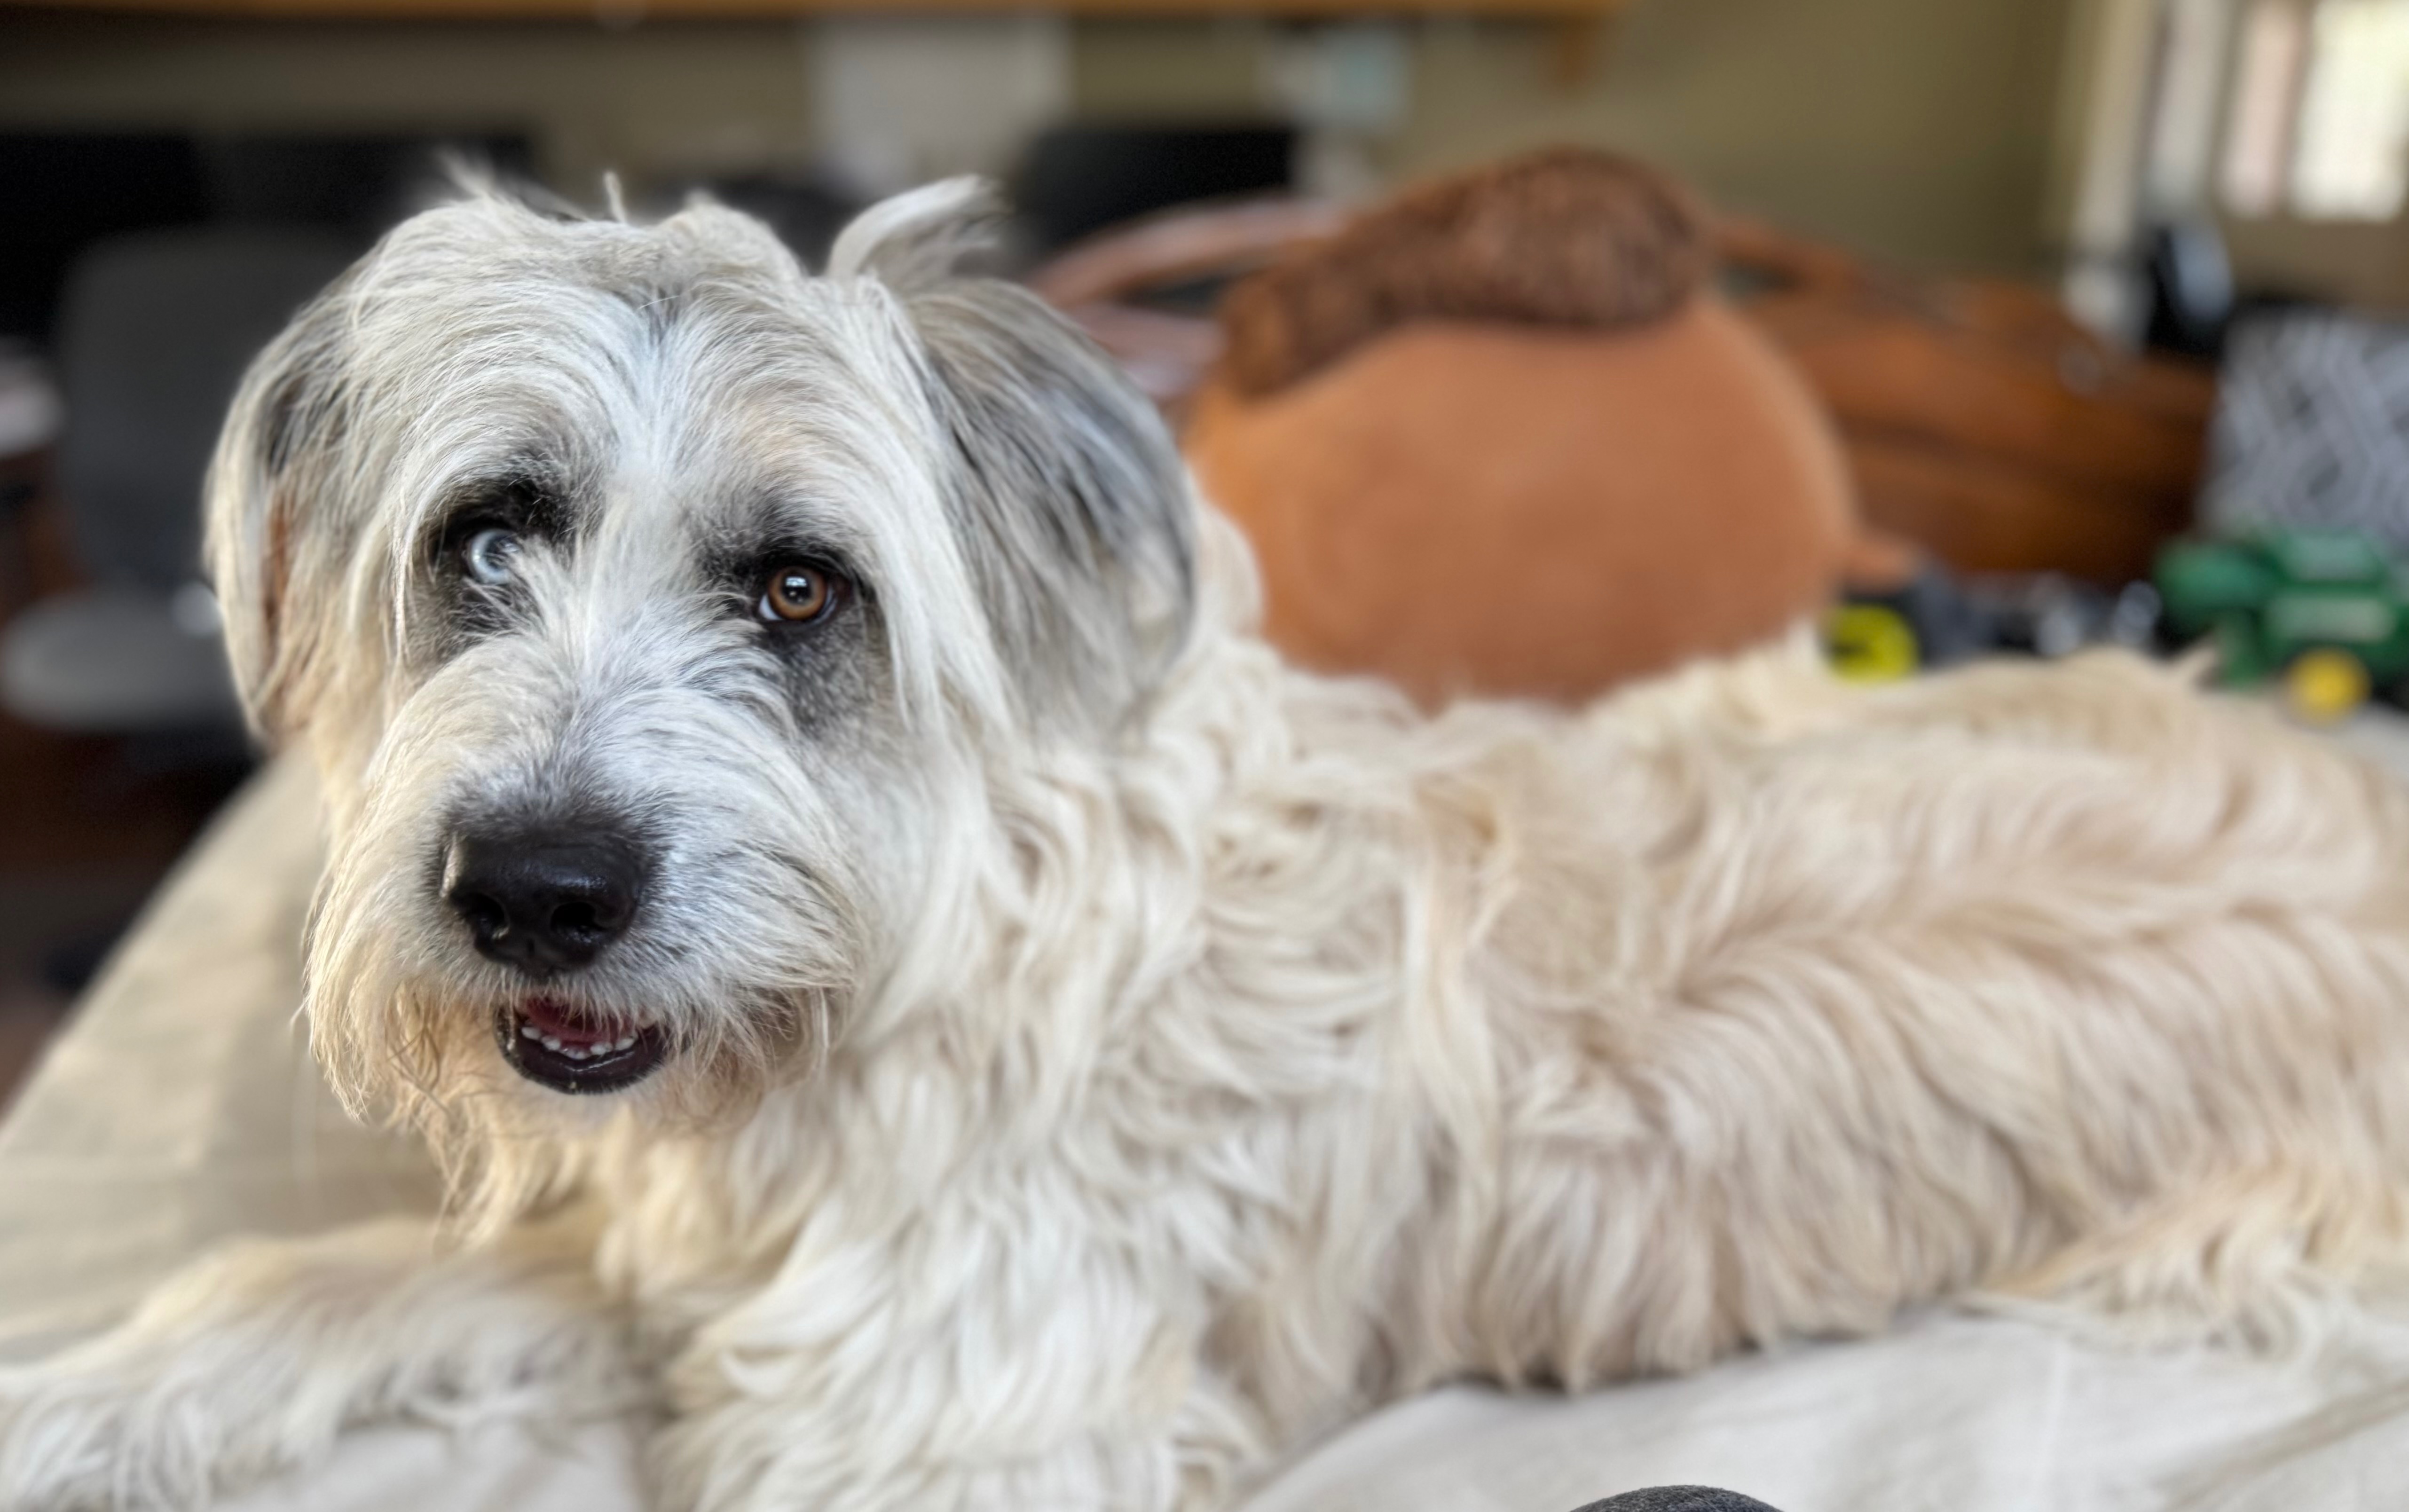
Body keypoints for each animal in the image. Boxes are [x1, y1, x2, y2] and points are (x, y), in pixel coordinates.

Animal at [6, 177, 2409, 1512]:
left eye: (798, 589)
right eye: (488, 538)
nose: (534, 893)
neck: (927, 950)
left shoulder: (939, 1431)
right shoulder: (672, 1248)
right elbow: (289, 1274)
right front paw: (78, 1402)